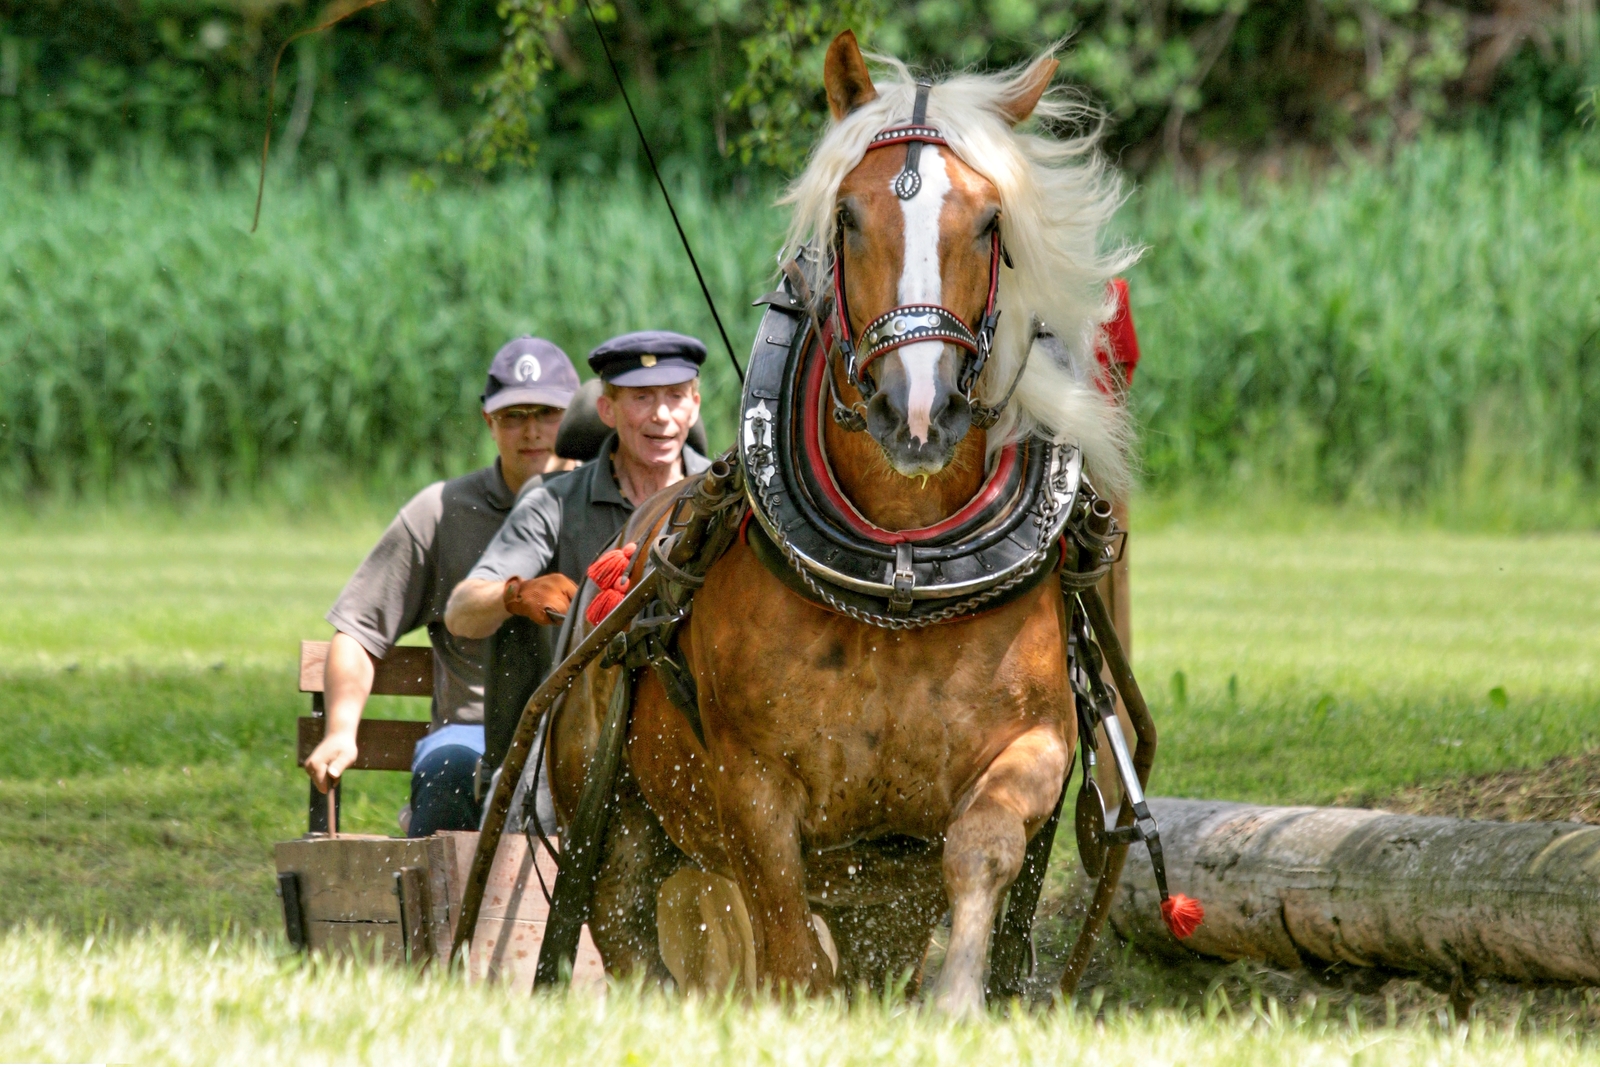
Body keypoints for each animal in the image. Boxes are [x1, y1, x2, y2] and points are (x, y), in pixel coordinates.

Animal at [524, 35, 1190, 1017]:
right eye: (847, 217)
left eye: (990, 223)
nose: (917, 411)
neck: (901, 571)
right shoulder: (753, 791)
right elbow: (791, 956)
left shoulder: (1027, 749)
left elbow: (984, 846)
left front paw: (958, 998)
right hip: (618, 833)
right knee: (628, 931)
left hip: (877, 885)